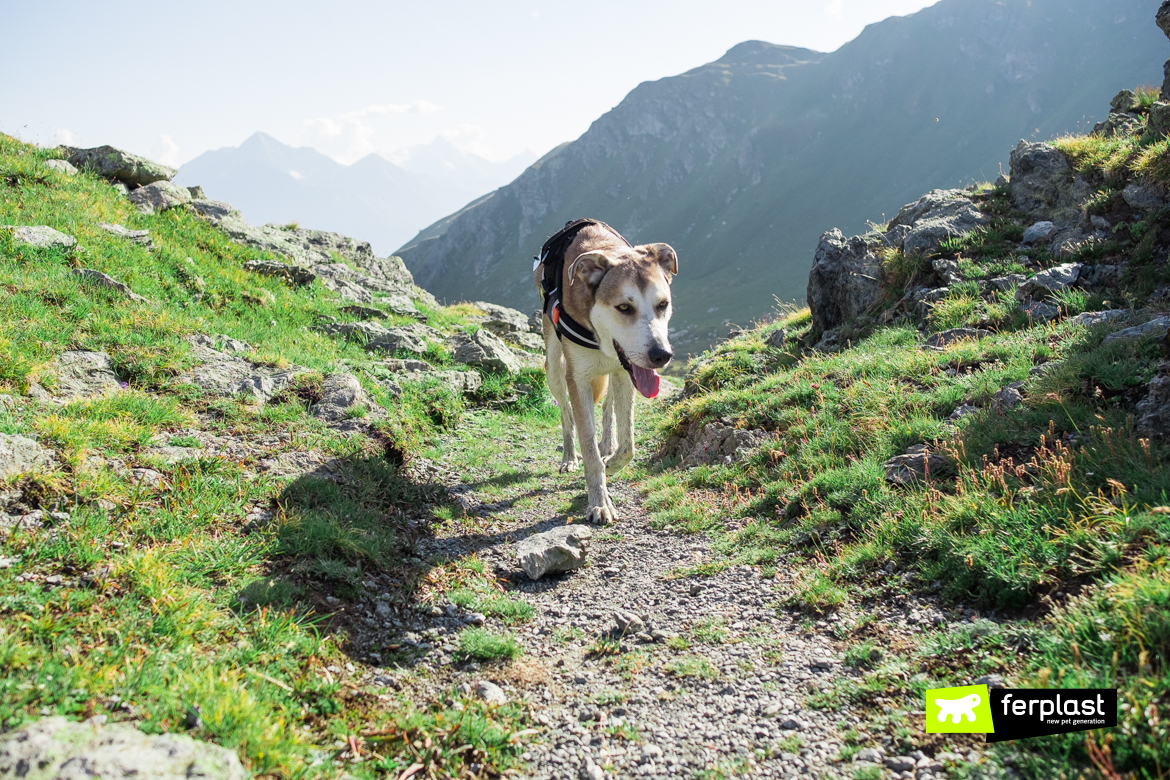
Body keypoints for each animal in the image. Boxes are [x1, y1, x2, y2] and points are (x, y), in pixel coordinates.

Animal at [535, 221, 678, 523]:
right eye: (624, 307)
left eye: (663, 305)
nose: (661, 355)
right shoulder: (577, 379)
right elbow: (588, 448)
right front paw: (599, 503)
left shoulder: (626, 375)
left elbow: (629, 445)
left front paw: (611, 462)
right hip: (554, 366)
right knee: (565, 414)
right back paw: (569, 457)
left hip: (616, 374)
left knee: (608, 408)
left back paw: (608, 446)